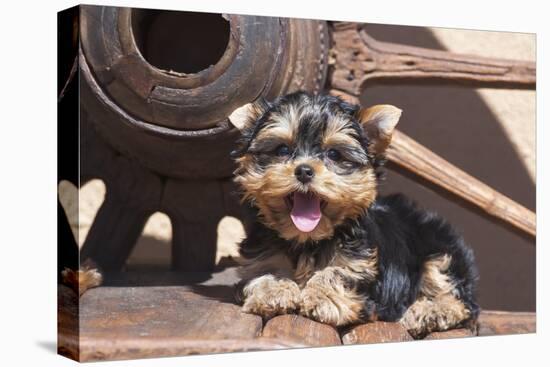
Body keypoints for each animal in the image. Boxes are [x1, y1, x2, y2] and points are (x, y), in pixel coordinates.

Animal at [229, 92, 478, 340]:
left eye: (333, 153)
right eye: (282, 150)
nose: (304, 170)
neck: (307, 240)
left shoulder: (363, 269)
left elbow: (337, 272)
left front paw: (323, 298)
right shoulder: (260, 257)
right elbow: (266, 270)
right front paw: (274, 291)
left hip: (440, 250)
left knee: (460, 300)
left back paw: (430, 312)